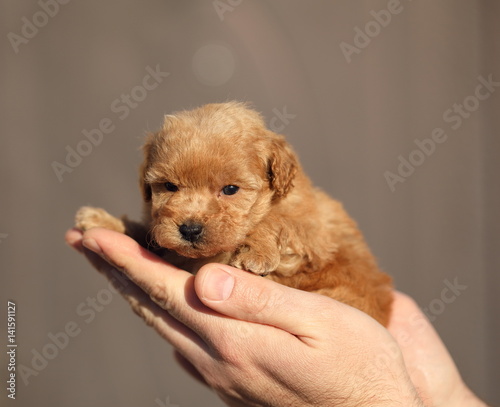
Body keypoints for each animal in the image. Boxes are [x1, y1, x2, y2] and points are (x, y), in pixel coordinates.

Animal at [76, 103, 392, 326]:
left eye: (230, 189)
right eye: (169, 186)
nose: (189, 229)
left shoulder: (313, 234)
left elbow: (278, 222)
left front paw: (256, 251)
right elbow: (151, 235)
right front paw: (104, 221)